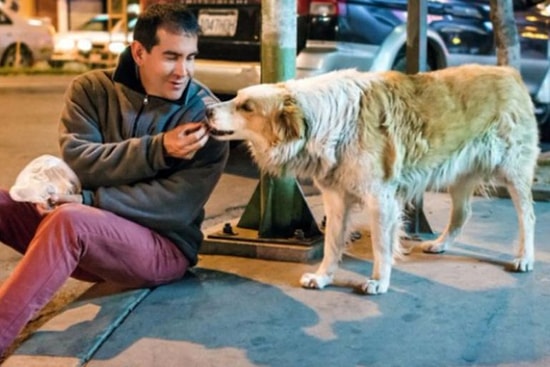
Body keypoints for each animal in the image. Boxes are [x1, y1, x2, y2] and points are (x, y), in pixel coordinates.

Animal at [205, 65, 540, 296]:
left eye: (246, 107)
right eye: (236, 98)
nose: (207, 110)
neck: (326, 121)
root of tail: (510, 71)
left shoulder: (380, 198)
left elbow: (381, 244)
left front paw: (379, 281)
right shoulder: (336, 198)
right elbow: (331, 243)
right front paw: (323, 277)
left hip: (513, 172)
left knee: (528, 217)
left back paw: (525, 258)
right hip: (458, 175)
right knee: (462, 214)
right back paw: (441, 244)